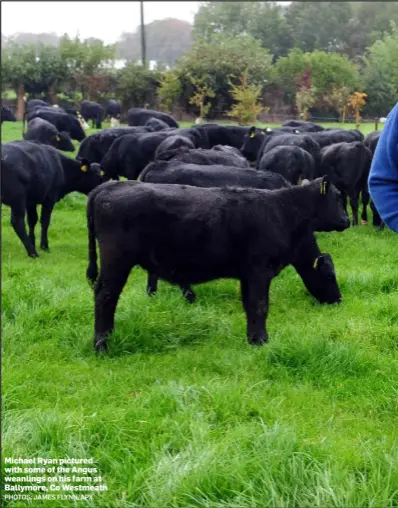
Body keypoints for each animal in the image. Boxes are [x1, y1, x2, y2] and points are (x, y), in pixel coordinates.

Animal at [86, 179, 348, 354]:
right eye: (329, 275)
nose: (338, 300)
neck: (283, 211)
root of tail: (109, 186)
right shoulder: (260, 271)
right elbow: (260, 305)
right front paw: (262, 341)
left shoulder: (247, 275)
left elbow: (249, 306)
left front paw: (253, 338)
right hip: (116, 260)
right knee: (105, 295)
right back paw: (102, 345)